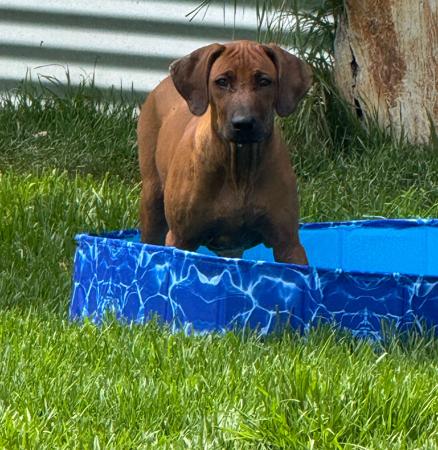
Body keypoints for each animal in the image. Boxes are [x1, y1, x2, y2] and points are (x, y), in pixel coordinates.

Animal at [137, 40, 311, 264]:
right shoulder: (180, 238)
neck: (239, 166)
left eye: (264, 81)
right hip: (152, 200)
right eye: (222, 81)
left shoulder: (288, 244)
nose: (243, 124)